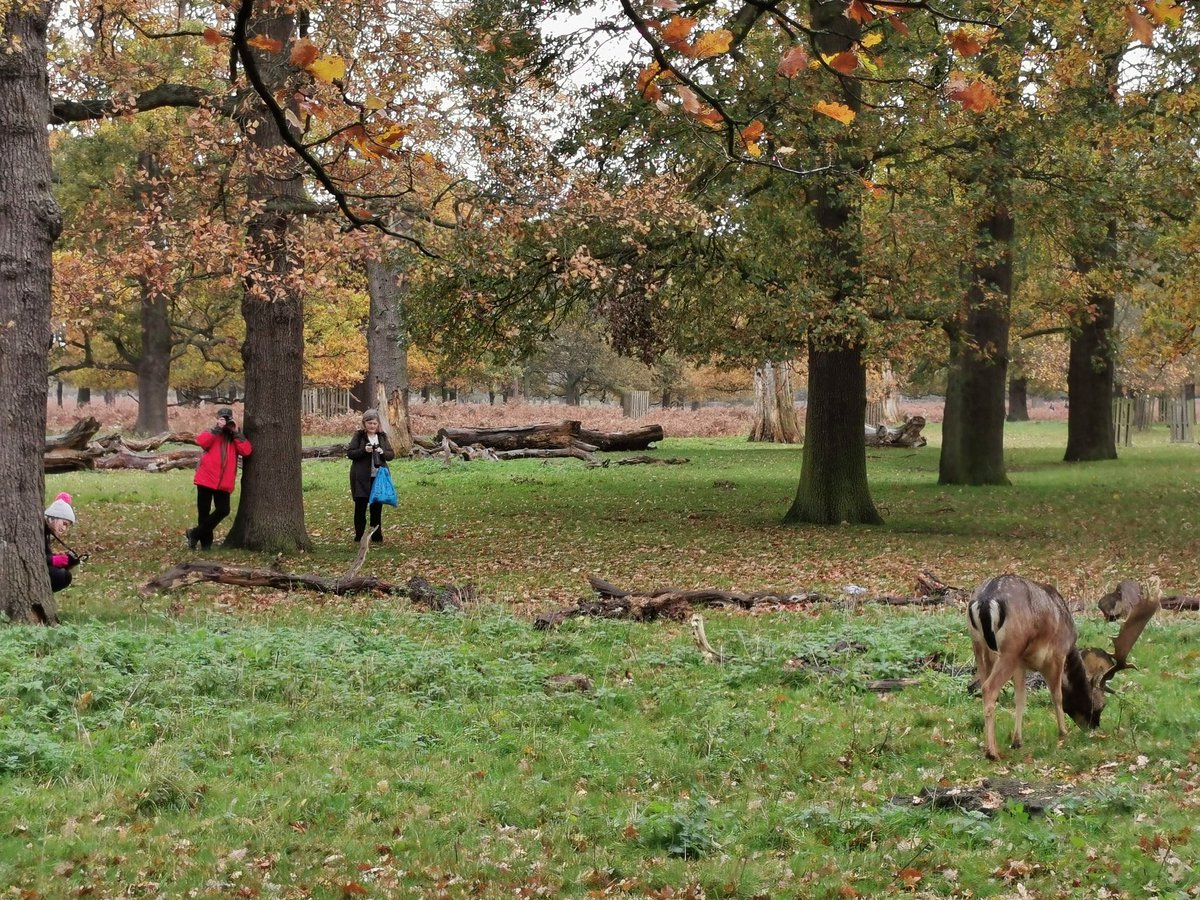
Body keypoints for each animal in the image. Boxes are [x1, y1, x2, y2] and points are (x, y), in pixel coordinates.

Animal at [967, 574, 1159, 760]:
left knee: (984, 685)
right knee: (989, 688)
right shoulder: (1057, 653)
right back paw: (992, 753)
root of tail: (985, 600)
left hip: (981, 647)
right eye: (1101, 705)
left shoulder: (1021, 662)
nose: (1093, 728)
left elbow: (1020, 698)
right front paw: (1063, 733)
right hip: (1010, 648)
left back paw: (988, 746)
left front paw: (1017, 741)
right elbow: (1057, 695)